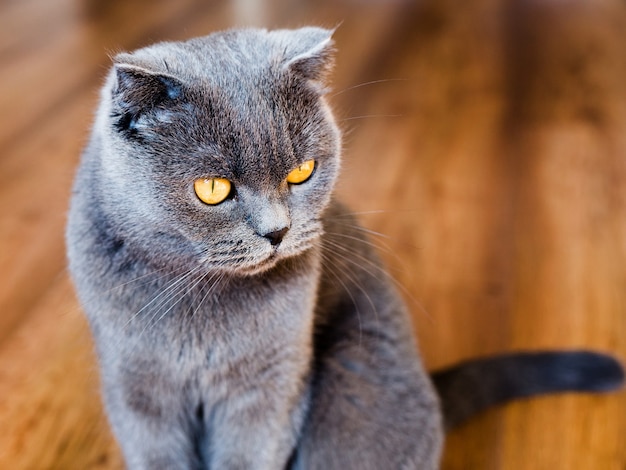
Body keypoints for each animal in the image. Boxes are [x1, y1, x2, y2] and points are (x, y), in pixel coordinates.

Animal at [66, 27, 620, 468]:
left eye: (301, 172)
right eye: (212, 189)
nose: (277, 232)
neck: (201, 305)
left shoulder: (271, 387)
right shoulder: (136, 390)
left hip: (354, 390)